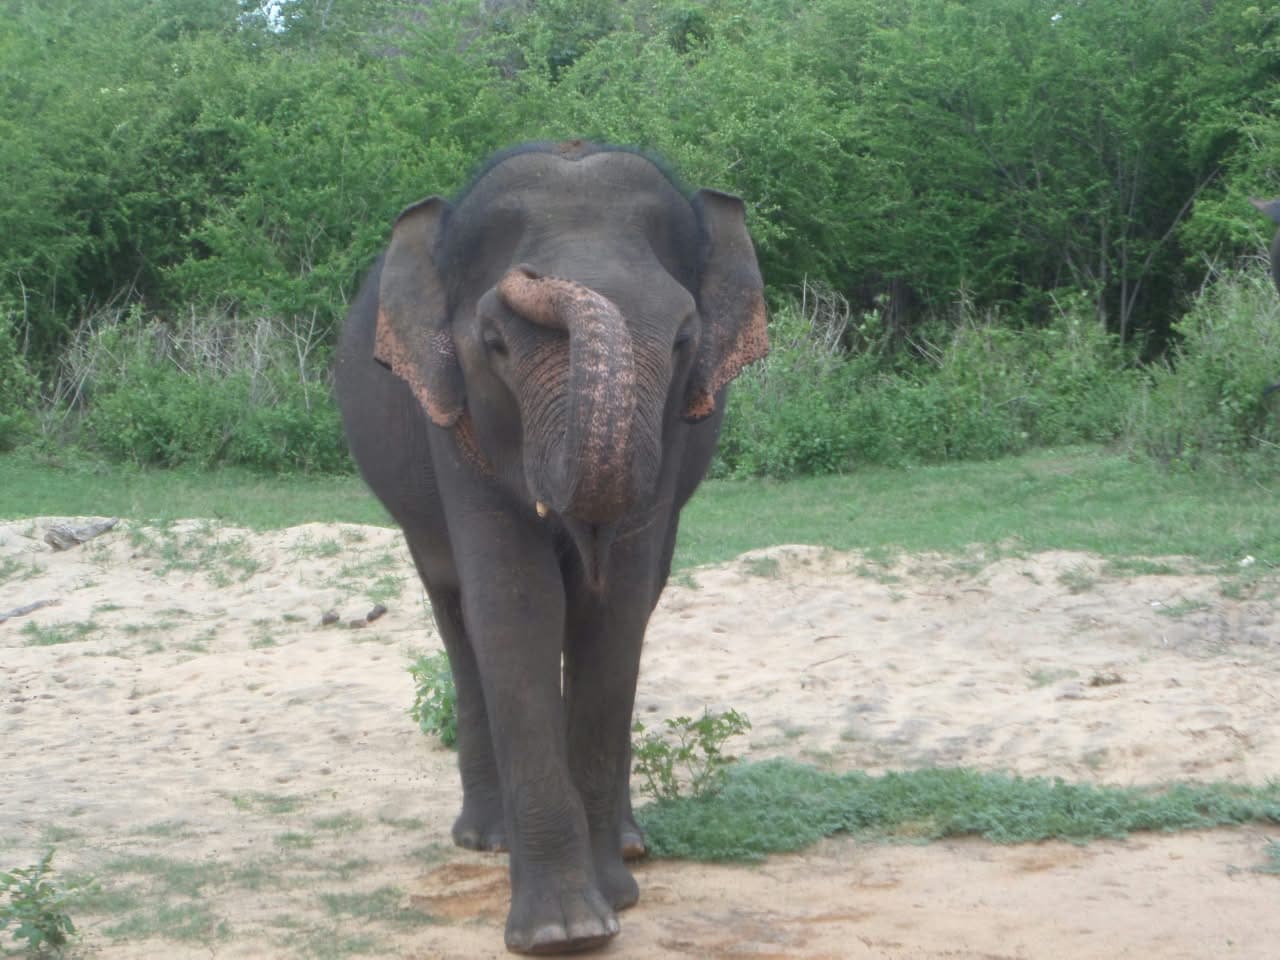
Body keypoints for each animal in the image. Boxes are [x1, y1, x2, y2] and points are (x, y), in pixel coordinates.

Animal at [333, 140, 768, 954]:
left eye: (684, 338)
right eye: (494, 342)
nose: (529, 278)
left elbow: (616, 607)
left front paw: (612, 903)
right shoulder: (453, 422)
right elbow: (514, 603)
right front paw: (565, 930)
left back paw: (627, 845)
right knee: (456, 615)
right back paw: (485, 839)